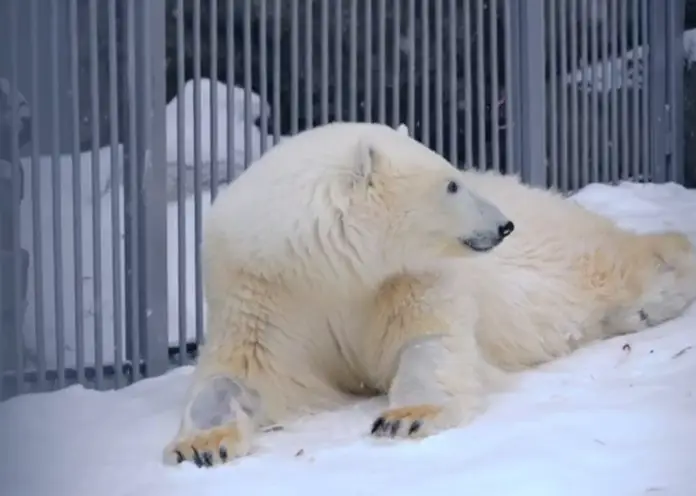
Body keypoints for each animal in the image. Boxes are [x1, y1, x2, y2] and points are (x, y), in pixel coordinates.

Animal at [163, 121, 696, 468]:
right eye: (451, 184)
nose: (504, 225)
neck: (329, 266)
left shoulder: (410, 276)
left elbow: (429, 343)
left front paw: (404, 418)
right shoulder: (264, 292)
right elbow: (242, 372)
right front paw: (201, 445)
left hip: (560, 254)